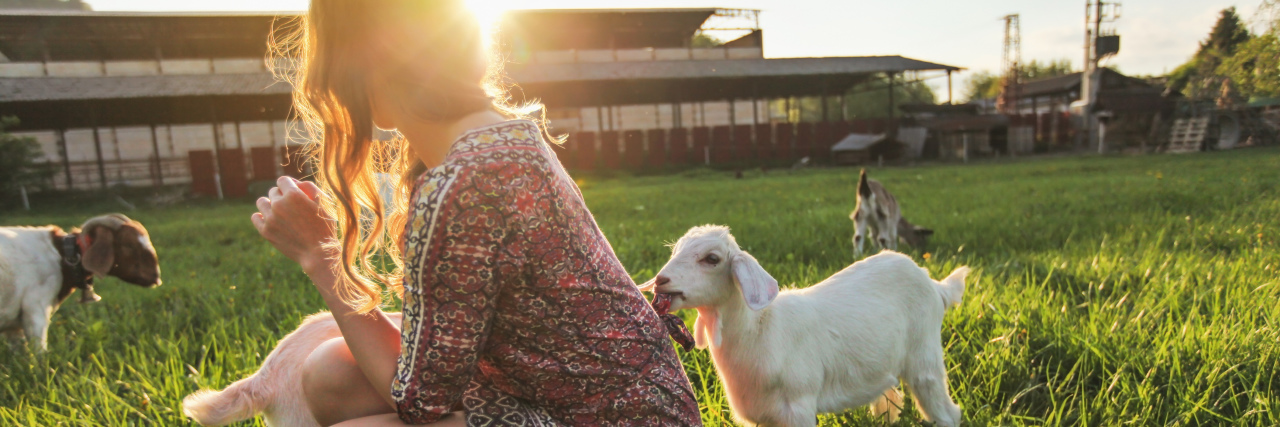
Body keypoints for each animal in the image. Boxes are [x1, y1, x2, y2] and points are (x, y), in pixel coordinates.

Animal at [640, 225, 966, 427]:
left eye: (712, 258)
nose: (661, 280)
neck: (760, 330)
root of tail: (934, 284)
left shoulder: (798, 406)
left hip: (924, 355)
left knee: (947, 411)